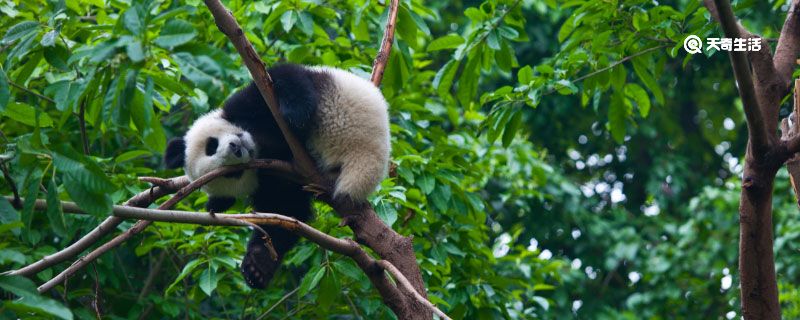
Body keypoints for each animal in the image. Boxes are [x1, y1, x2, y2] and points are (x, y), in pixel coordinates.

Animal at [165, 63, 390, 288]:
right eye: (233, 174)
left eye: (210, 146)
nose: (236, 148)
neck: (261, 143)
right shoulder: (274, 180)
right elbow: (285, 212)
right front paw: (257, 265)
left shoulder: (247, 106)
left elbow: (281, 78)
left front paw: (295, 114)